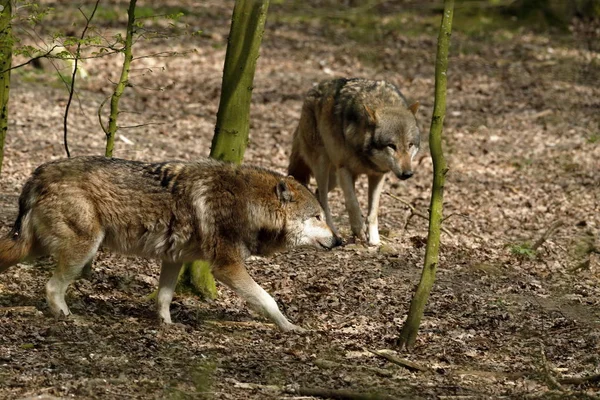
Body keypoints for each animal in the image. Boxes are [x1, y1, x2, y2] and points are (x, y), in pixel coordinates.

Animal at [0, 155, 340, 332]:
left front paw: (166, 324)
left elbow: (163, 296)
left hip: (33, 246)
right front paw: (290, 327)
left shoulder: (175, 258)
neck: (249, 204)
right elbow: (268, 299)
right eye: (318, 216)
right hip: (84, 248)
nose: (340, 240)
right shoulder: (227, 266)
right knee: (51, 287)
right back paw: (68, 317)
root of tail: (37, 174)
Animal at [288, 77, 420, 245]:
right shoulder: (345, 170)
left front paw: (374, 241)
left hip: (335, 178)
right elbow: (352, 203)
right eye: (391, 146)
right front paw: (359, 230)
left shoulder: (378, 175)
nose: (408, 174)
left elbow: (373, 212)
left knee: (317, 193)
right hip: (323, 166)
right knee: (323, 200)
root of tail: (313, 90)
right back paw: (335, 234)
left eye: (410, 145)